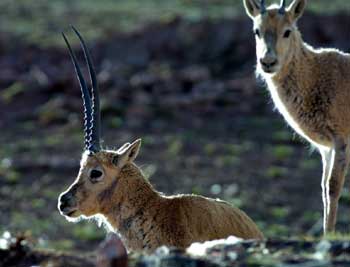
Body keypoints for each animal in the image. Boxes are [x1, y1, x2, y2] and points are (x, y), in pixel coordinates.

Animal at [243, 0, 350, 234]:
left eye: (287, 31)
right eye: (256, 30)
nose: (267, 62)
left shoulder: (341, 139)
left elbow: (333, 187)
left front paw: (329, 234)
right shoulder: (326, 148)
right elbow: (323, 188)